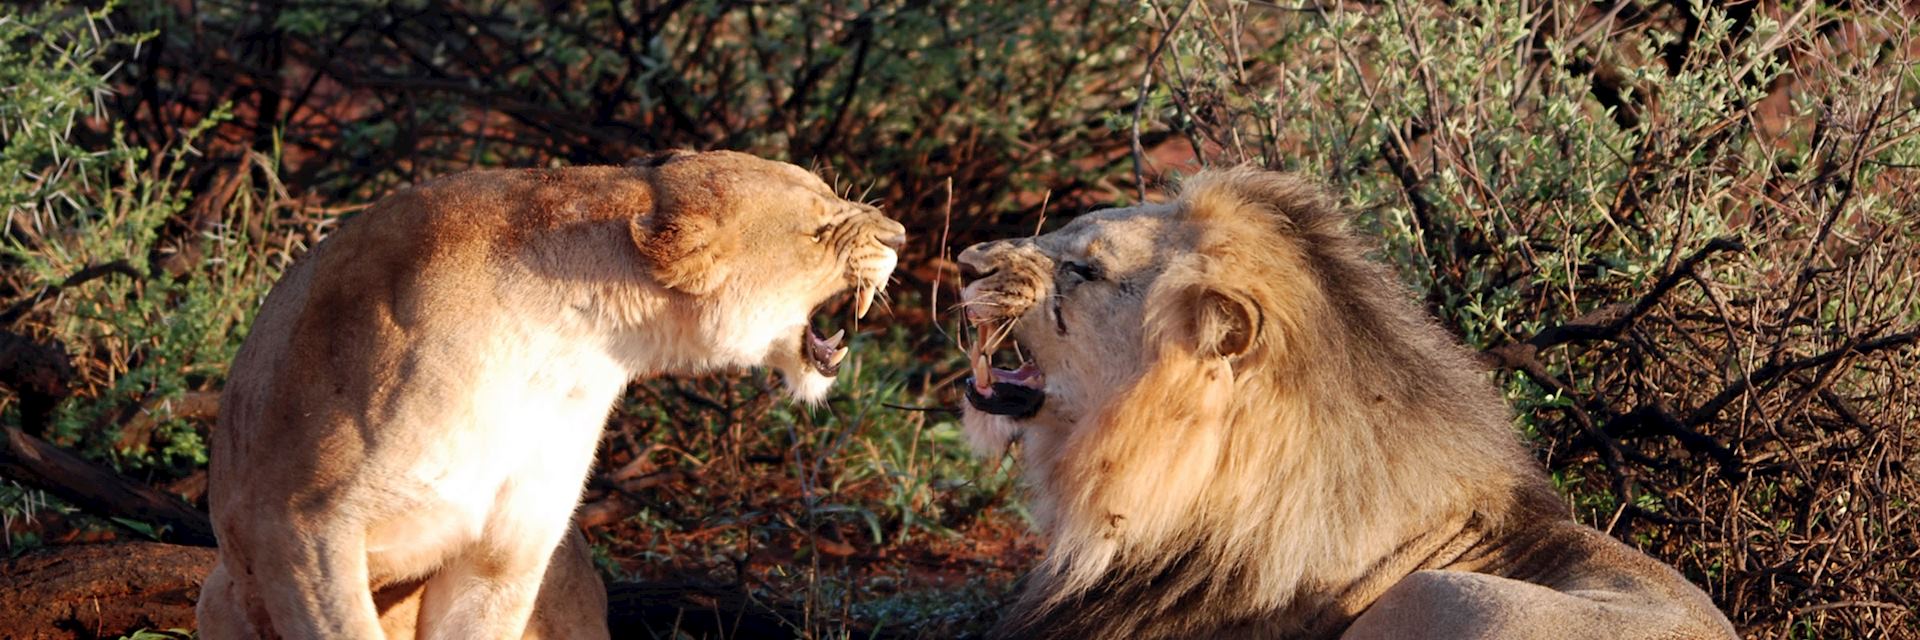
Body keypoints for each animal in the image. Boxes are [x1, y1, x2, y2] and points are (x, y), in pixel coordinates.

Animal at [198, 147, 902, 634]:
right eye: (818, 227)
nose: (897, 235)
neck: (568, 343)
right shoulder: (301, 525)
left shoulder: (507, 554)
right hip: (220, 589)